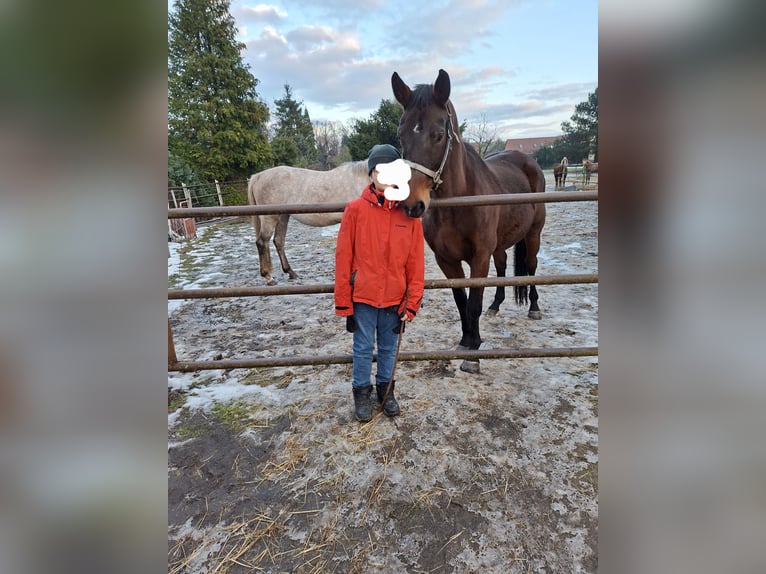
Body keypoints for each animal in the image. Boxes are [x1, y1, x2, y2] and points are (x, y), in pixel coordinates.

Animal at [391, 68, 547, 373]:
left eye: (439, 135)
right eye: (401, 135)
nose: (412, 204)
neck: (459, 201)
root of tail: (527, 159)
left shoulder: (479, 257)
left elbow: (473, 301)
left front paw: (473, 354)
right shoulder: (446, 260)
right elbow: (461, 300)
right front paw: (467, 341)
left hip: (533, 235)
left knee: (532, 266)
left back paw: (534, 308)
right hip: (500, 244)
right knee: (502, 268)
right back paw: (495, 306)